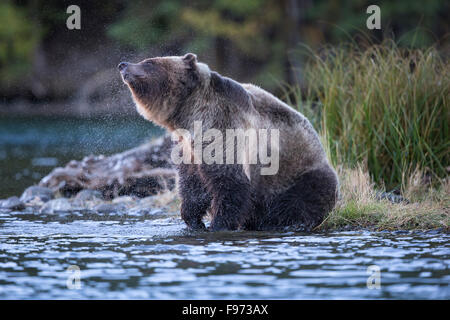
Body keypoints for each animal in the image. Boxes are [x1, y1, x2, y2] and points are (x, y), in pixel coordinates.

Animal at [118, 53, 338, 231]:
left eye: (149, 62)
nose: (123, 64)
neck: (189, 115)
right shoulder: (188, 146)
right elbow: (192, 184)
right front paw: (194, 221)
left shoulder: (224, 128)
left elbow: (229, 182)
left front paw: (218, 225)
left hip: (298, 174)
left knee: (305, 197)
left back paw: (293, 223)